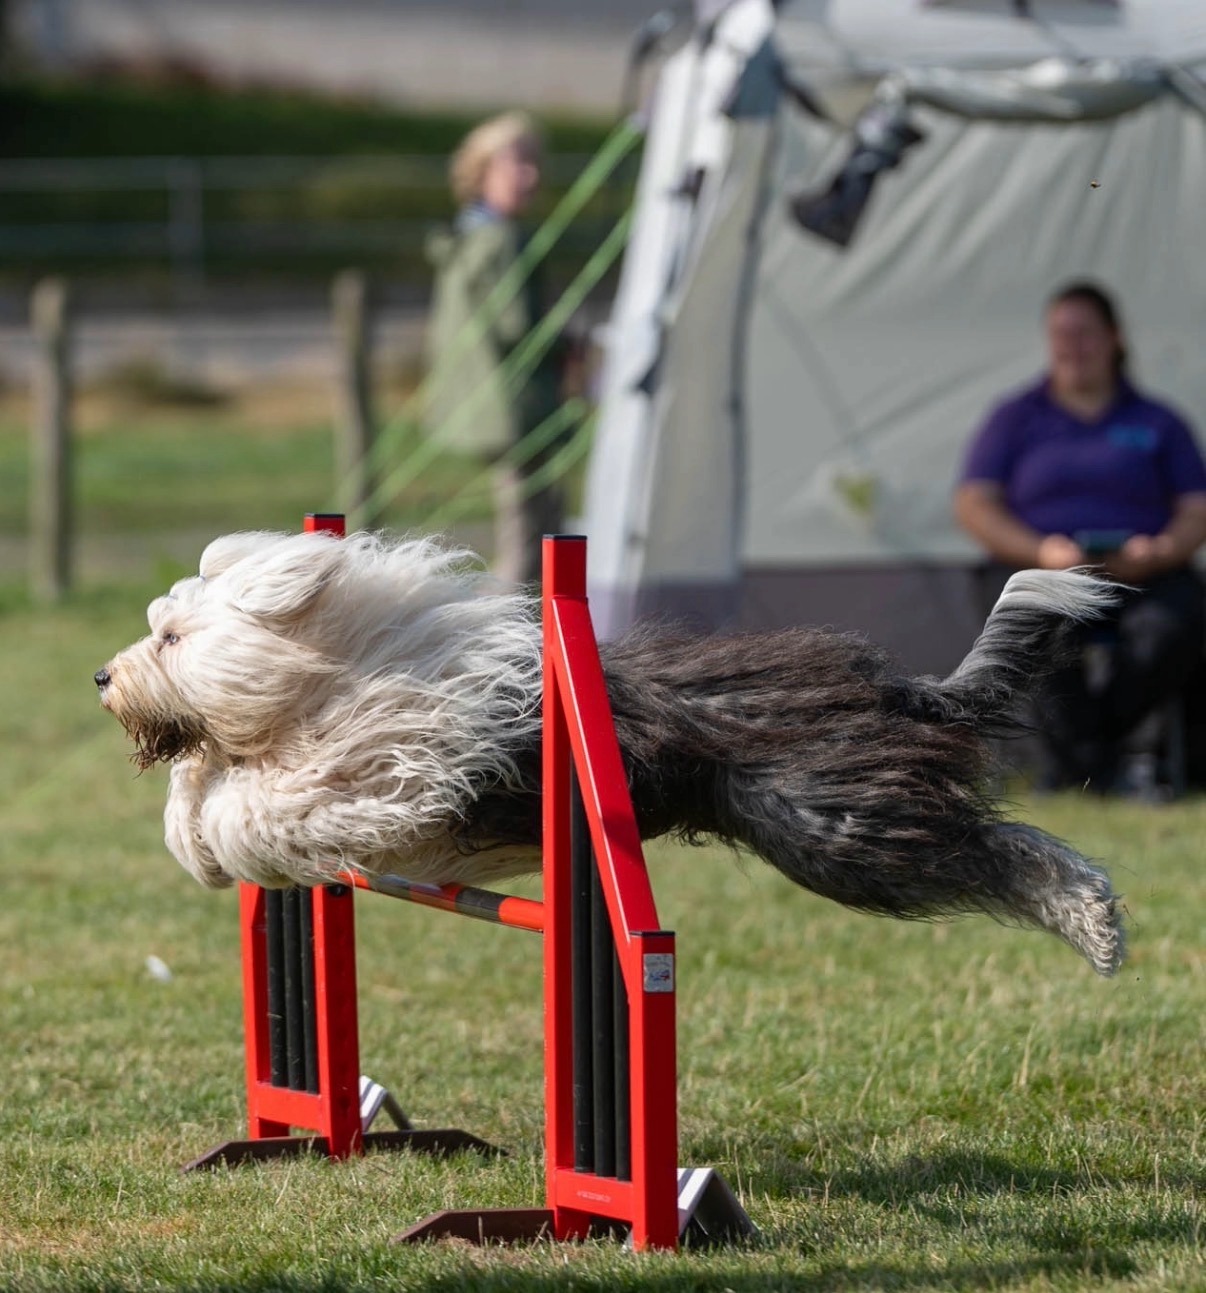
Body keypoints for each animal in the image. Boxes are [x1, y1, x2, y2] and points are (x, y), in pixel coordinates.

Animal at [96, 529, 1125, 976]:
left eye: (174, 637)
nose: (104, 676)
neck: (333, 665)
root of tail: (891, 684)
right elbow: (206, 784)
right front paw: (193, 817)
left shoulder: (382, 767)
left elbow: (268, 802)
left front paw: (217, 833)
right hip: (836, 819)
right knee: (1003, 848)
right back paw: (1102, 927)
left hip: (835, 819)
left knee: (988, 849)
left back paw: (1099, 923)